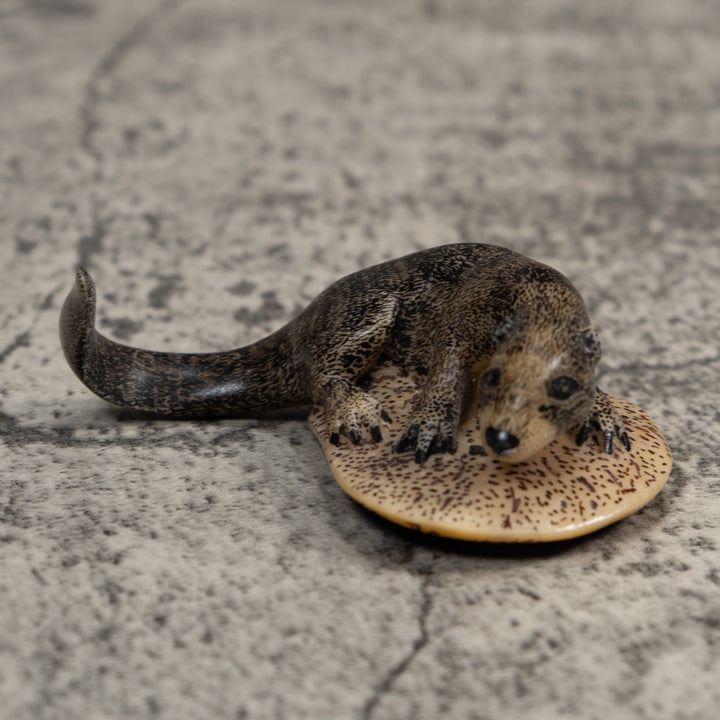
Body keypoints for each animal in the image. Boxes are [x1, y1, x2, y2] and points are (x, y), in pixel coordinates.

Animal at [59, 243, 630, 464]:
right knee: (323, 370)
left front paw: (603, 417)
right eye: (492, 381)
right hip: (370, 312)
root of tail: (305, 318)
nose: (503, 437)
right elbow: (445, 371)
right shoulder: (463, 323)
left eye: (563, 387)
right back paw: (357, 412)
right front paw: (427, 431)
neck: (535, 300)